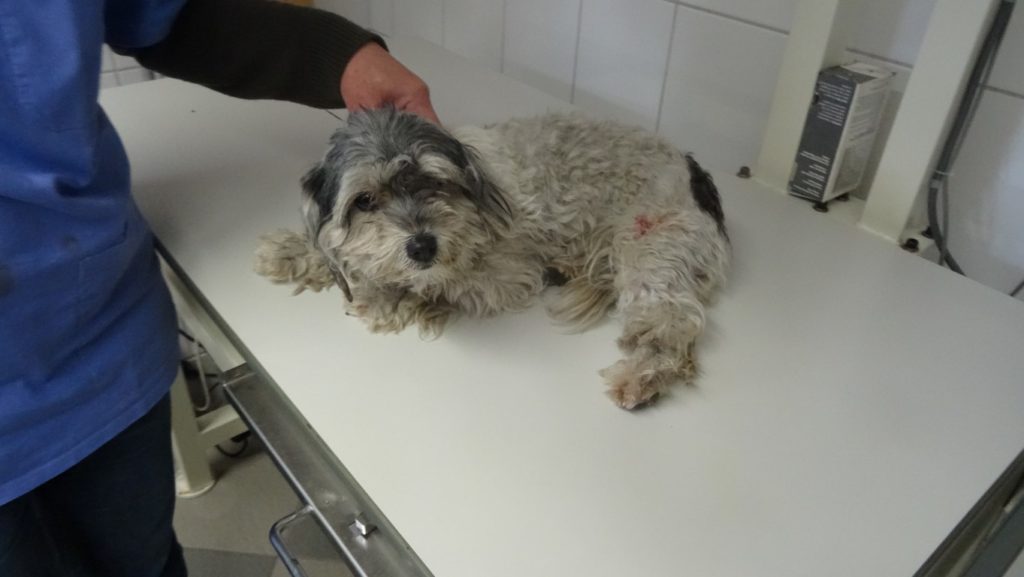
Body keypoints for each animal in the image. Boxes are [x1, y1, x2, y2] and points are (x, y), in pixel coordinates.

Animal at [254, 109, 730, 409]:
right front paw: (291, 250)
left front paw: (384, 295)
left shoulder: (507, 275)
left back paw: (641, 377)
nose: (423, 246)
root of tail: (696, 173)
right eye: (365, 199)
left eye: (435, 182)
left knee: (673, 327)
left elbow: (427, 284)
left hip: (649, 250)